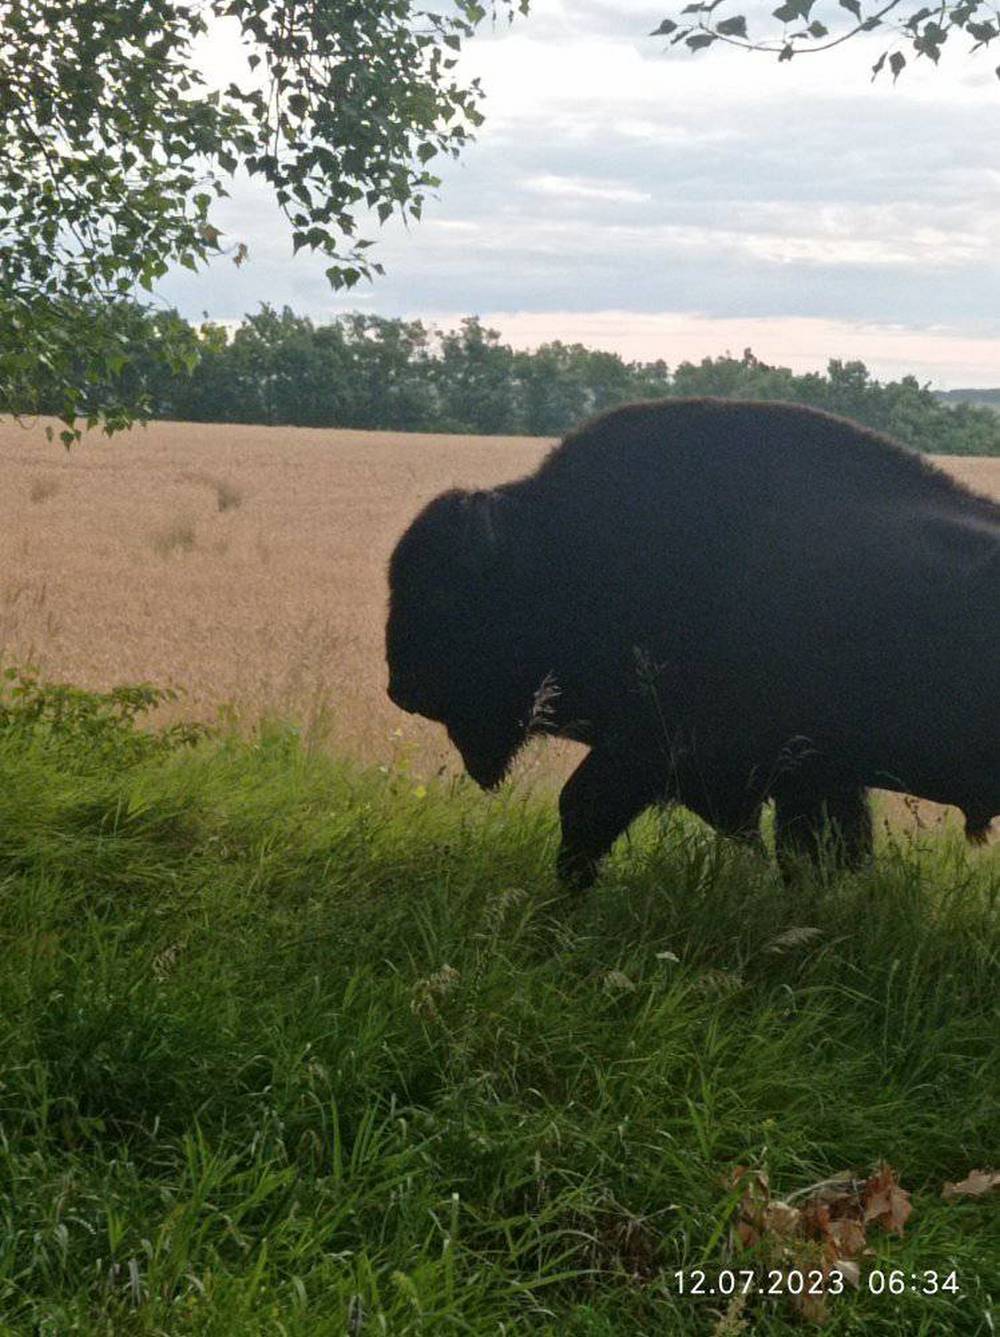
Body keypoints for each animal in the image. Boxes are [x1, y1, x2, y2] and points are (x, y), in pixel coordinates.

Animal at [385, 395, 1000, 887]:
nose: (401, 688)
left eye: (447, 596)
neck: (561, 551)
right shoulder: (812, 775)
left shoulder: (651, 746)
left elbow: (582, 811)